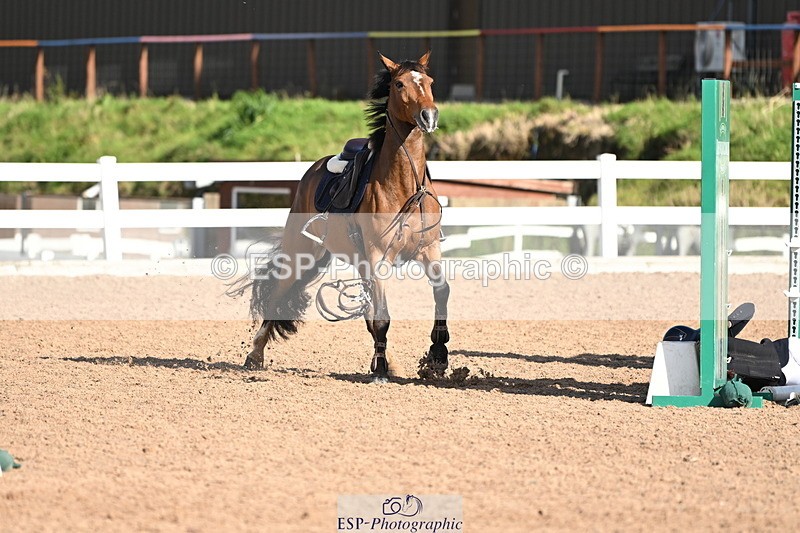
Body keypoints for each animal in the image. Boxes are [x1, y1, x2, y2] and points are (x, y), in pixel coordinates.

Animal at [231, 51, 450, 378]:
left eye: (430, 81)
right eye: (399, 83)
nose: (429, 117)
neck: (404, 186)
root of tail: (312, 170)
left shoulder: (428, 249)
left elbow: (441, 292)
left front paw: (438, 354)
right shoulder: (378, 256)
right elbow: (382, 317)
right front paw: (382, 369)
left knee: (368, 313)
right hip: (301, 253)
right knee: (278, 293)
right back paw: (255, 355)